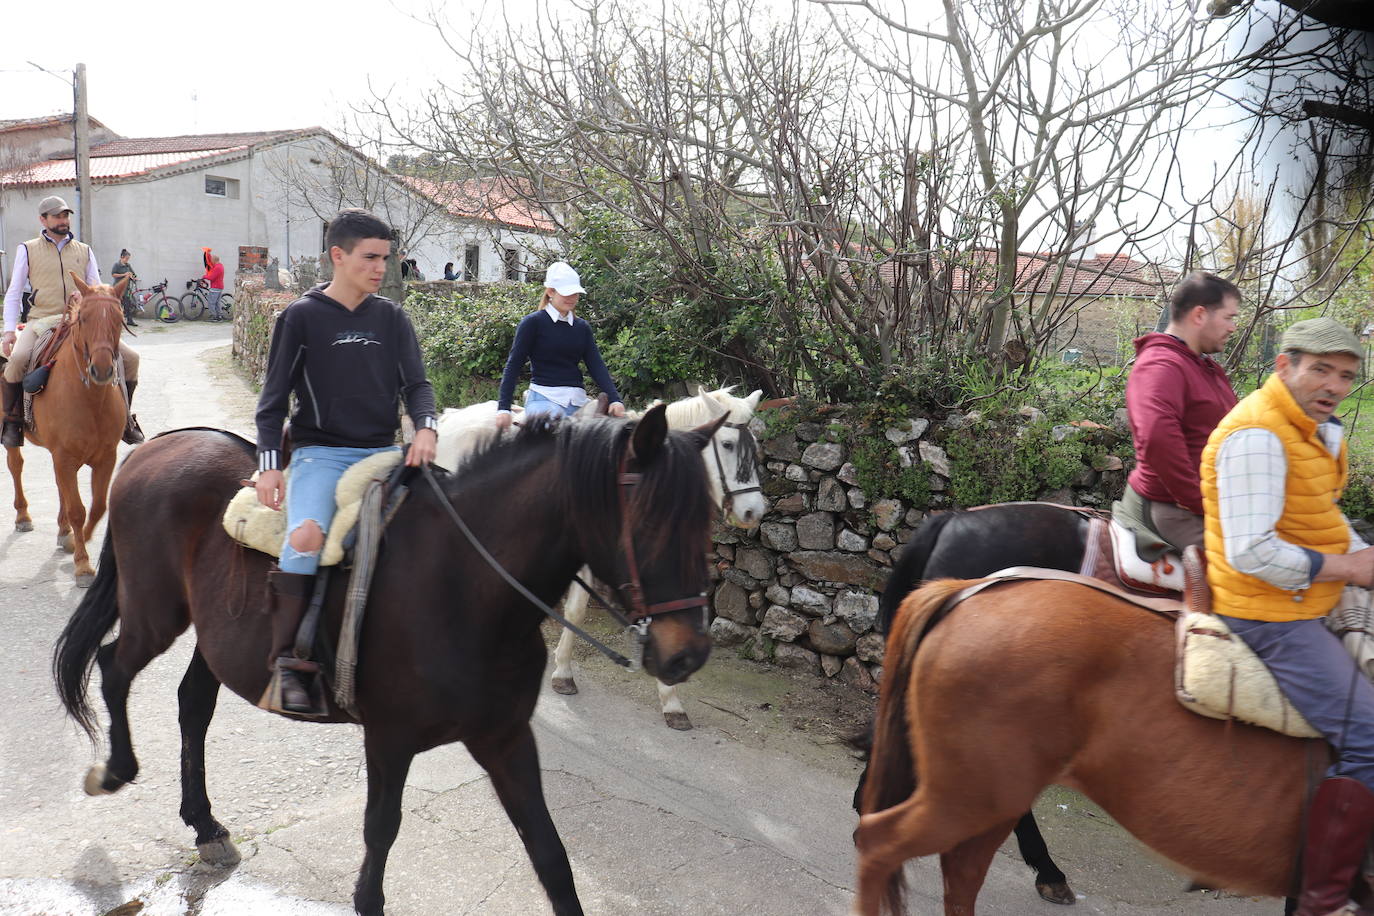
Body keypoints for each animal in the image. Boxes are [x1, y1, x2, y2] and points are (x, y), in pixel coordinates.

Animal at [7, 274, 129, 587]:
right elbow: (78, 510)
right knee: (16, 466)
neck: (90, 399)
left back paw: (63, 532)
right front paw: (83, 565)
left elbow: (97, 506)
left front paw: (75, 541)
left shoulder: (105, 457)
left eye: (119, 318)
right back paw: (23, 516)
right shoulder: (64, 456)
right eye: (83, 318)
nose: (102, 370)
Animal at [52, 406, 725, 916]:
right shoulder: (390, 738)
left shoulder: (505, 737)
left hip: (213, 640)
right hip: (156, 614)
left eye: (706, 522)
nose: (687, 654)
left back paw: (206, 826)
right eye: (652, 521)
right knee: (114, 668)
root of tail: (157, 446)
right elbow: (380, 836)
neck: (467, 584)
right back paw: (113, 771)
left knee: (193, 704)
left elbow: (551, 856)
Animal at [434, 387, 769, 730]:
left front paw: (671, 700)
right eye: (727, 444)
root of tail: (451, 417)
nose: (754, 510)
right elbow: (579, 608)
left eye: (755, 446)